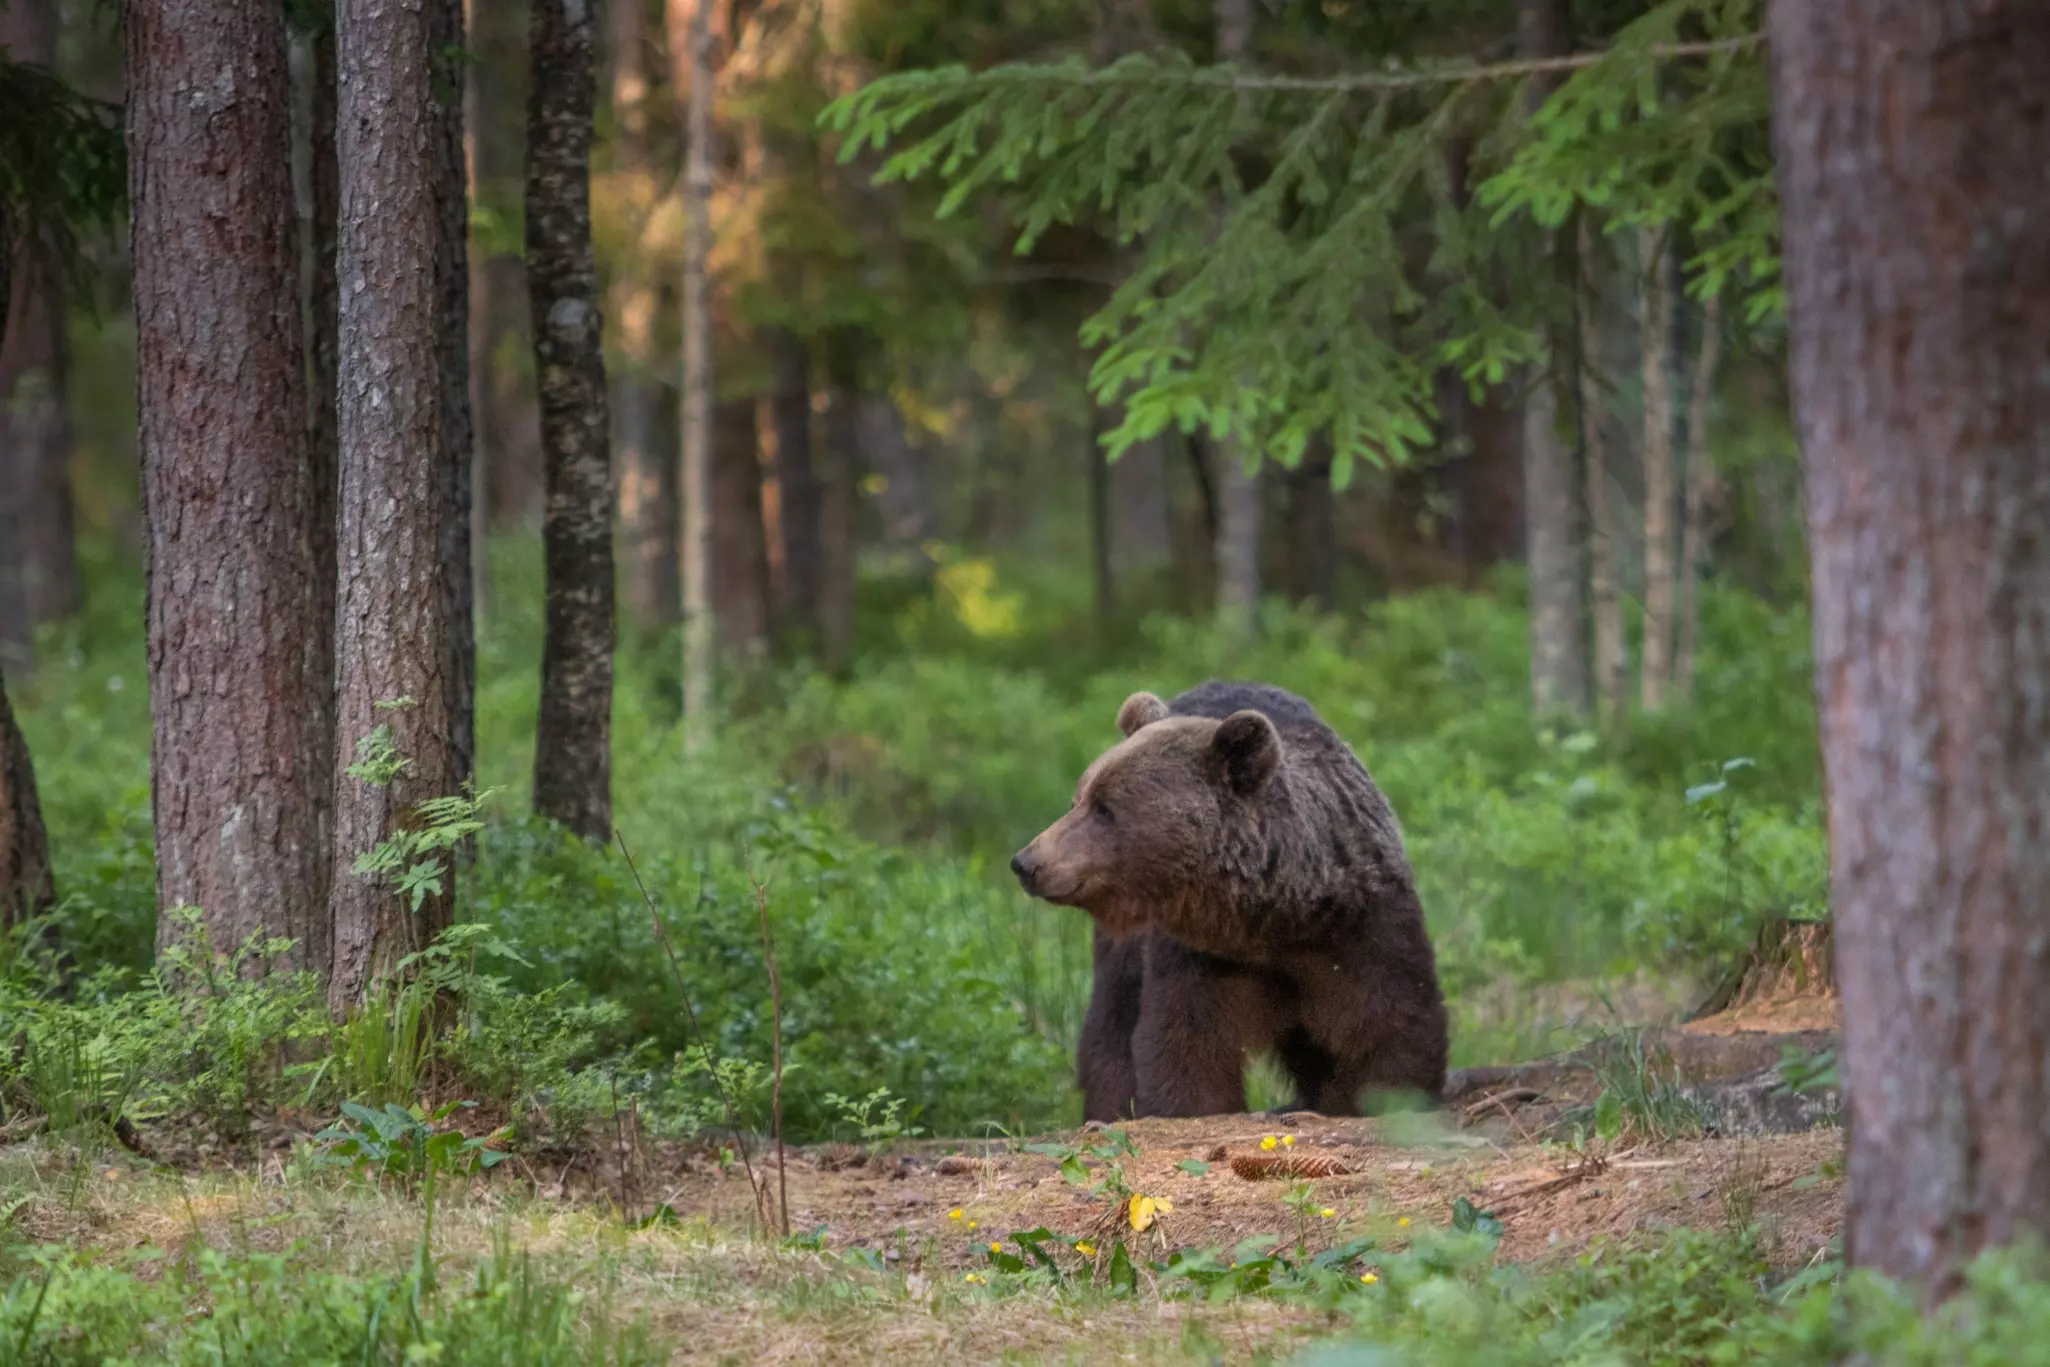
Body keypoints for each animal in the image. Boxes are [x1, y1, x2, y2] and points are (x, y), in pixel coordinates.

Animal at [1010, 680, 1448, 1120]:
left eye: (1103, 808)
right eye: (1077, 799)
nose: (1026, 862)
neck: (1273, 917)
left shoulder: (1359, 928)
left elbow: (1389, 1022)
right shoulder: (1198, 957)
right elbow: (1186, 1042)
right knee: (1113, 1018)